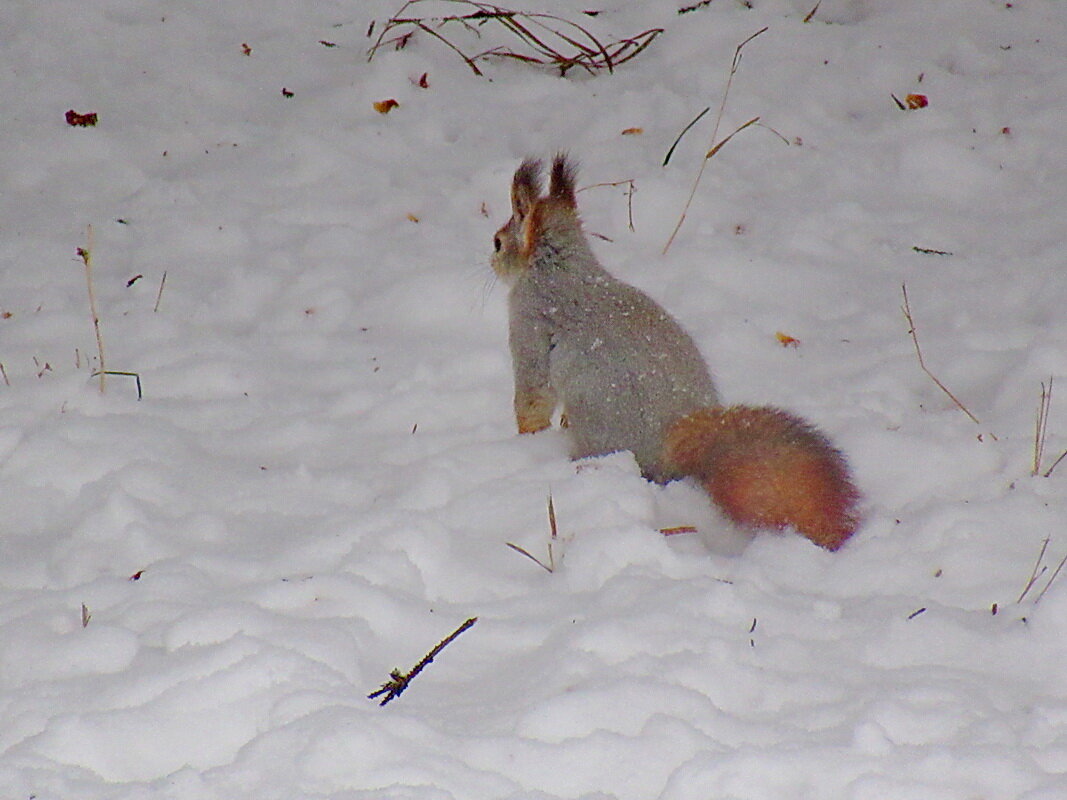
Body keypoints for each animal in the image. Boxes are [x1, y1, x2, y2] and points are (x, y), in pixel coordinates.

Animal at [490, 154, 857, 550]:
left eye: (498, 242)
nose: (491, 261)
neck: (558, 268)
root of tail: (674, 439)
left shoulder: (528, 325)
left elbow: (532, 396)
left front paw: (527, 438)